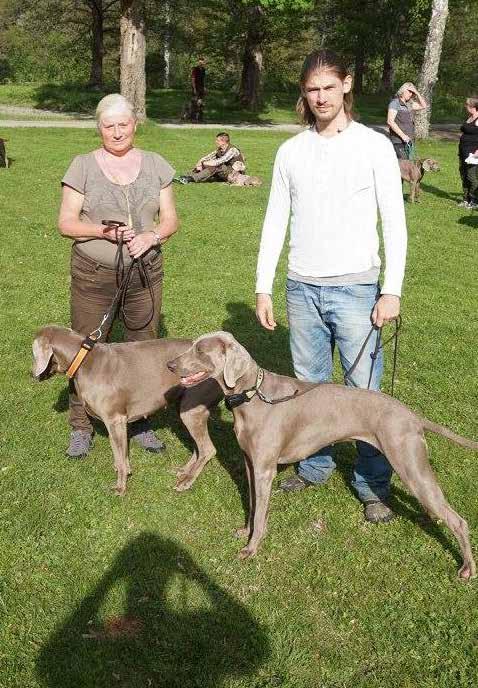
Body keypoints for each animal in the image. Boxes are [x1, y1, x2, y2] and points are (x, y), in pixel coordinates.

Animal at [31, 326, 222, 494]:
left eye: (32, 354)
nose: (31, 374)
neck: (84, 360)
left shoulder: (115, 420)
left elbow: (119, 455)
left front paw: (120, 487)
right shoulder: (116, 423)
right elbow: (119, 454)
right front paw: (122, 470)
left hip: (192, 409)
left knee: (208, 449)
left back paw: (186, 482)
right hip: (186, 407)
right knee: (199, 447)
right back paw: (184, 472)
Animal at [166, 330, 476, 576]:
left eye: (200, 350)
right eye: (192, 345)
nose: (169, 364)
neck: (253, 395)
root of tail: (411, 414)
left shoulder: (265, 469)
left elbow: (261, 513)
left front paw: (251, 548)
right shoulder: (250, 463)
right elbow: (253, 505)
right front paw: (245, 532)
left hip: (408, 462)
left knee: (459, 520)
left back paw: (467, 568)